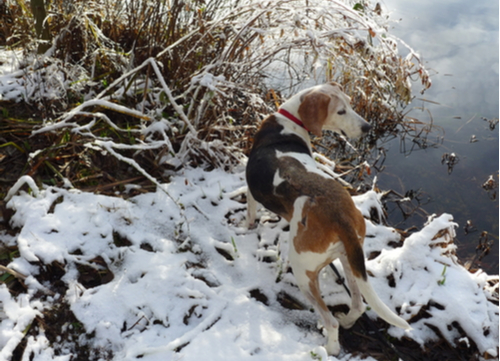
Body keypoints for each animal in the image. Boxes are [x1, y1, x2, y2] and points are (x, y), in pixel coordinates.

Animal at [246, 82, 410, 354]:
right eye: (342, 110)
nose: (367, 127)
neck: (288, 121)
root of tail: (339, 215)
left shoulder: (250, 191)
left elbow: (249, 214)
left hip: (303, 272)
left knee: (329, 320)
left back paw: (329, 347)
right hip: (349, 257)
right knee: (358, 305)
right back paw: (348, 320)